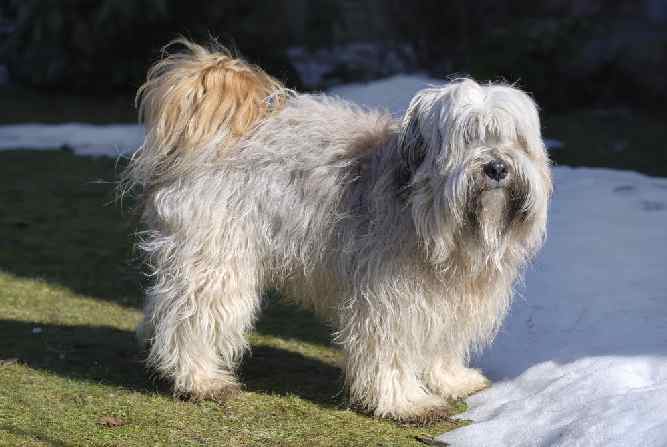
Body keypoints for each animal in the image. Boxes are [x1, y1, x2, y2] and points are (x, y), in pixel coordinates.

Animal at [122, 39, 552, 424]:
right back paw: (198, 378)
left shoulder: (447, 301)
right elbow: (391, 351)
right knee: (191, 318)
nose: (496, 168)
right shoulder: (391, 299)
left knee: (166, 303)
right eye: (468, 137)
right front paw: (405, 402)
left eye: (516, 140)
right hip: (217, 258)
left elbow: (442, 344)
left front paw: (451, 380)